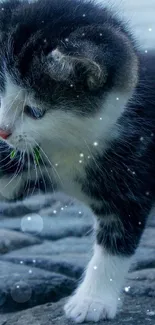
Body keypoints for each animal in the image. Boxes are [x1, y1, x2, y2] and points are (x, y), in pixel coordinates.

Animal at [0, 0, 154, 322]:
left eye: (35, 111)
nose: (2, 131)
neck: (71, 143)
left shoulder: (134, 173)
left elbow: (116, 242)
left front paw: (92, 301)